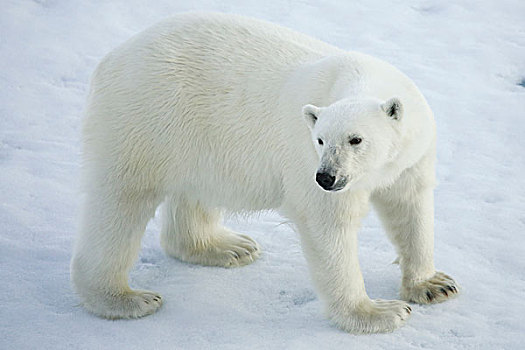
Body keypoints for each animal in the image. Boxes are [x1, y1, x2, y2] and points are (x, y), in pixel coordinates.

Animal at [70, 11, 458, 334]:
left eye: (356, 139)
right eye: (319, 140)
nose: (326, 178)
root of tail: (110, 58)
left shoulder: (412, 154)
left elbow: (409, 207)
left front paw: (433, 285)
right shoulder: (307, 161)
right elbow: (328, 224)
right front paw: (378, 313)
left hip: (194, 137)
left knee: (193, 191)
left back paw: (227, 247)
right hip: (142, 120)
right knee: (121, 204)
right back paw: (125, 298)